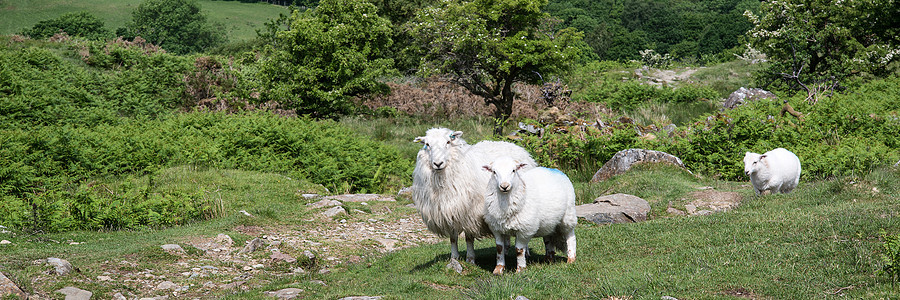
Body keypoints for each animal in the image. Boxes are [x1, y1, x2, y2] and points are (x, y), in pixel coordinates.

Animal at [414, 127, 536, 264]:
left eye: (448, 142)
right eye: (427, 144)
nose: (438, 163)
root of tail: (517, 147)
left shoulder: (470, 213)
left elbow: (468, 238)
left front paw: (470, 259)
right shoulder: (449, 212)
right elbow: (453, 238)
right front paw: (454, 258)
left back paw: (526, 252)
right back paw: (505, 250)